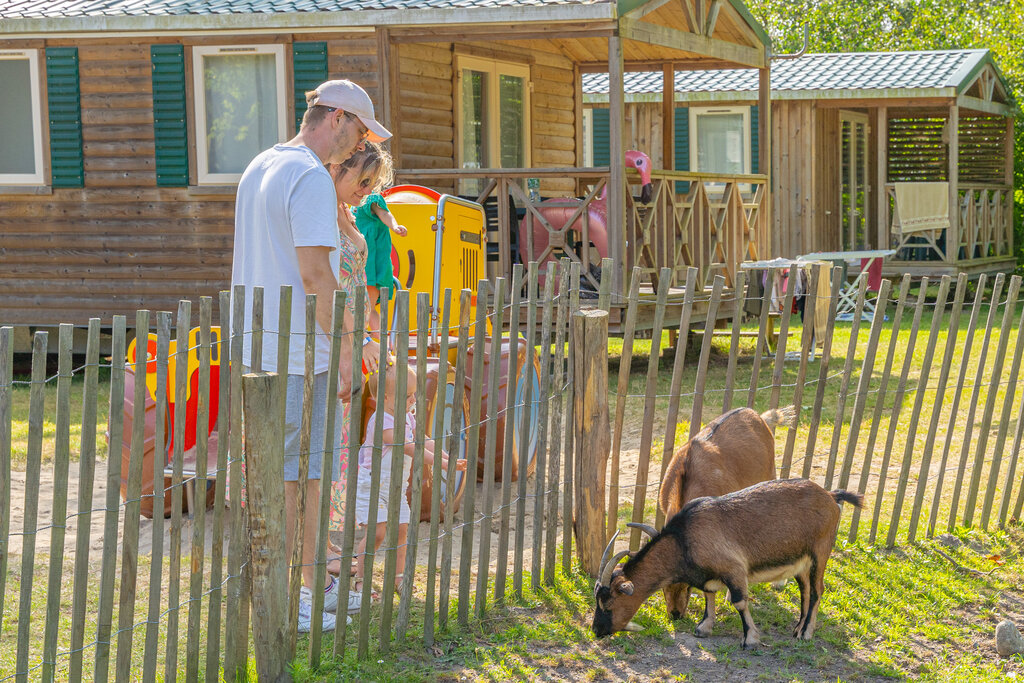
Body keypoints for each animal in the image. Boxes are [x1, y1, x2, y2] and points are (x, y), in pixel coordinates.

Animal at [593, 479, 864, 651]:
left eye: (608, 603)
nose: (596, 630)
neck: (683, 539)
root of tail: (830, 496)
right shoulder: (710, 575)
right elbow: (709, 594)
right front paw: (704, 627)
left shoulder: (734, 569)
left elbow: (739, 602)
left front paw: (750, 639)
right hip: (801, 562)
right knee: (806, 590)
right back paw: (797, 628)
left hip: (821, 551)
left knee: (817, 591)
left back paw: (806, 634)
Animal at [655, 405, 790, 626]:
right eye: (663, 585)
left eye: (688, 584)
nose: (675, 614)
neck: (687, 473)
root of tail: (757, 415)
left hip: (768, 474)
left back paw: (778, 582)